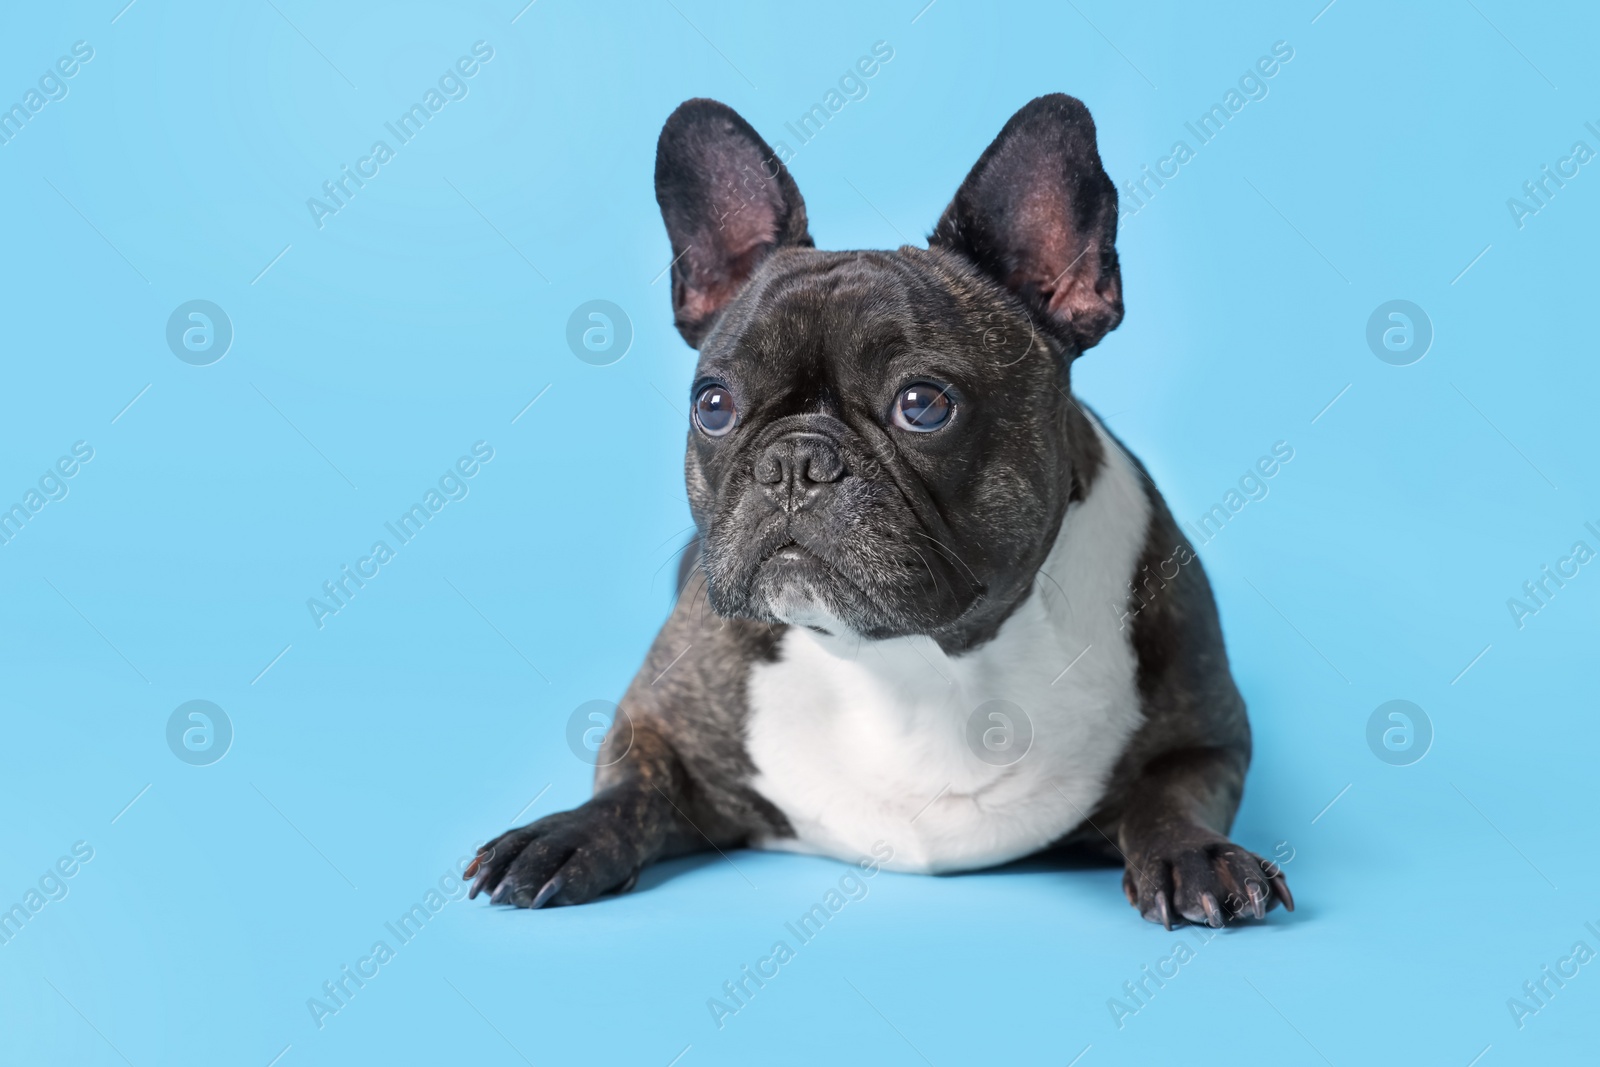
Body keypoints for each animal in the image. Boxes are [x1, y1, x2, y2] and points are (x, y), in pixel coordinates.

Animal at [467, 93, 1299, 927]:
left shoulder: (1208, 738)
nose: (794, 462)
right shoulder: (655, 725)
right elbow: (628, 787)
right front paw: (563, 835)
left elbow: (1170, 794)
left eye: (923, 405)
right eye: (714, 405)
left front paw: (1195, 854)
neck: (909, 661)